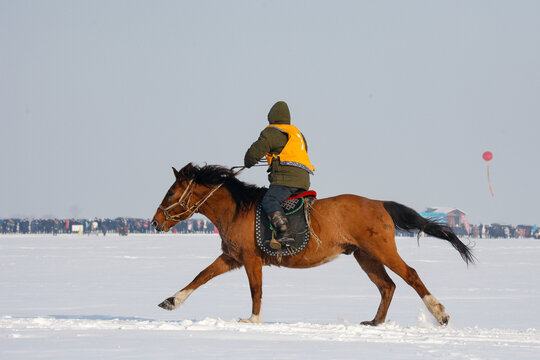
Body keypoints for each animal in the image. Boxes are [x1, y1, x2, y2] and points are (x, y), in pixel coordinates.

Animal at [151, 163, 472, 326]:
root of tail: (380, 203)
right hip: (365, 256)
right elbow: (201, 276)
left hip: (381, 250)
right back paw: (375, 322)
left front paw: (253, 319)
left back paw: (440, 313)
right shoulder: (232, 257)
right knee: (387, 286)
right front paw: (171, 301)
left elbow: (256, 290)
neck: (236, 209)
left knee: (410, 276)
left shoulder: (251, 260)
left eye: (170, 193)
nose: (154, 222)